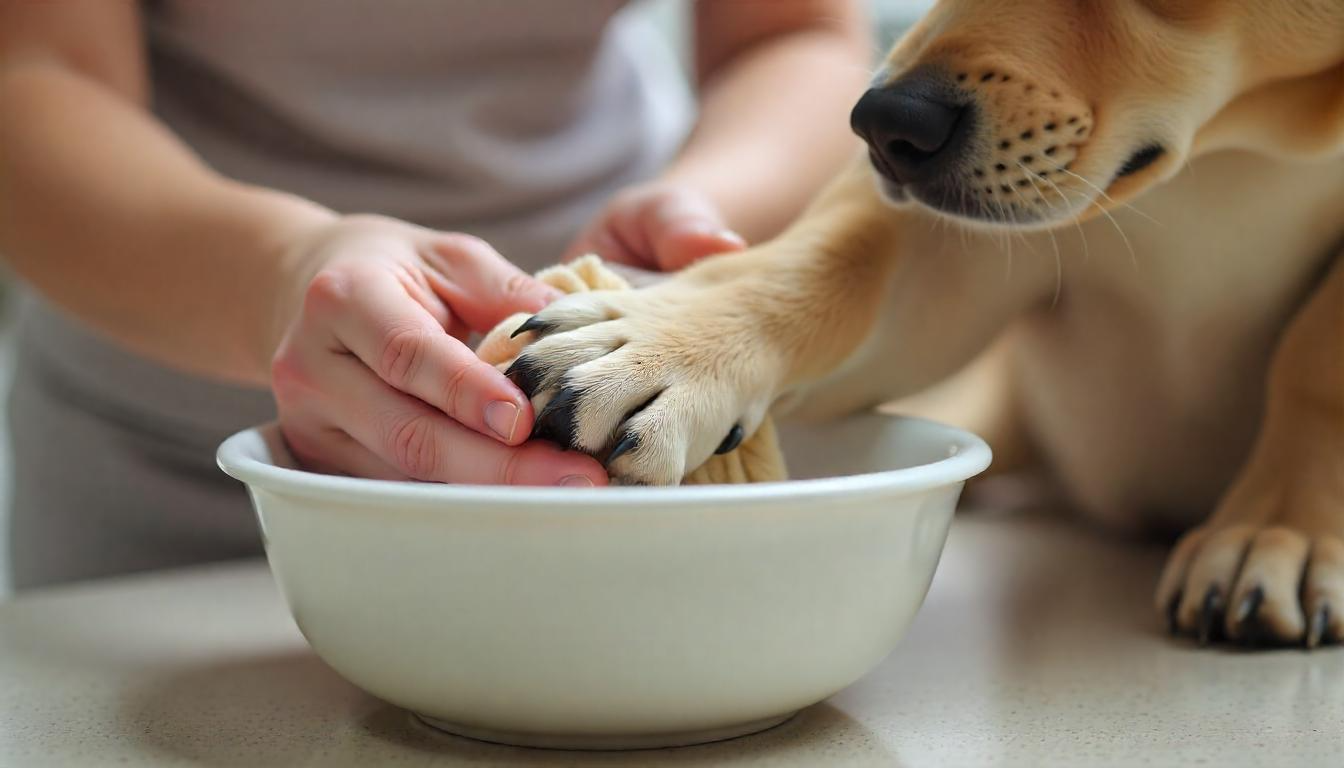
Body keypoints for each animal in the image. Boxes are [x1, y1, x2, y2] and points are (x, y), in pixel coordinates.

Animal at [505, 0, 1344, 650]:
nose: (883, 125)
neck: (1238, 150)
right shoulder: (957, 244)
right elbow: (829, 261)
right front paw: (668, 341)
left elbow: (1314, 357)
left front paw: (1279, 531)